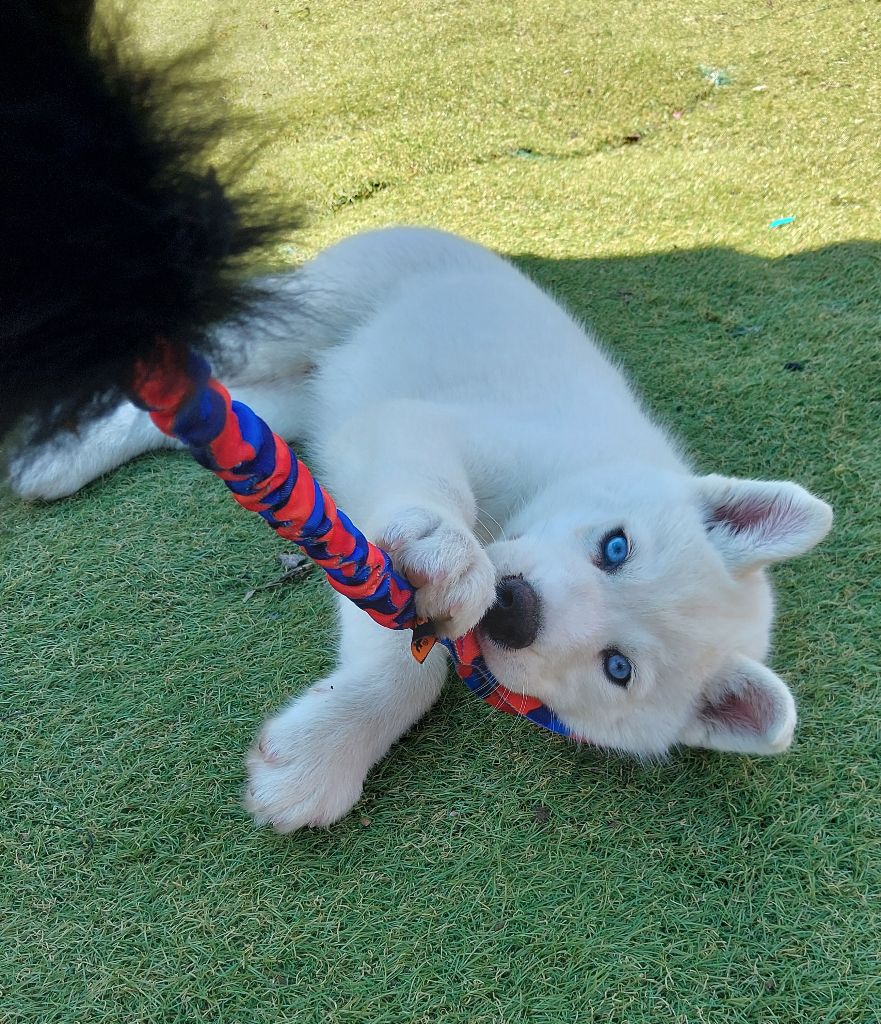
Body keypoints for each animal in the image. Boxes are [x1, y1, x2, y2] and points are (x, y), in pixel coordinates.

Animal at [10, 226, 827, 831]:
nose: (515, 607)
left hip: (289, 404)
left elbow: (419, 657)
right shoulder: (421, 427)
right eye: (615, 547)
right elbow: (424, 563)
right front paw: (446, 554)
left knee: (187, 412)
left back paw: (56, 459)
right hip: (295, 325)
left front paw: (321, 751)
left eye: (617, 668)